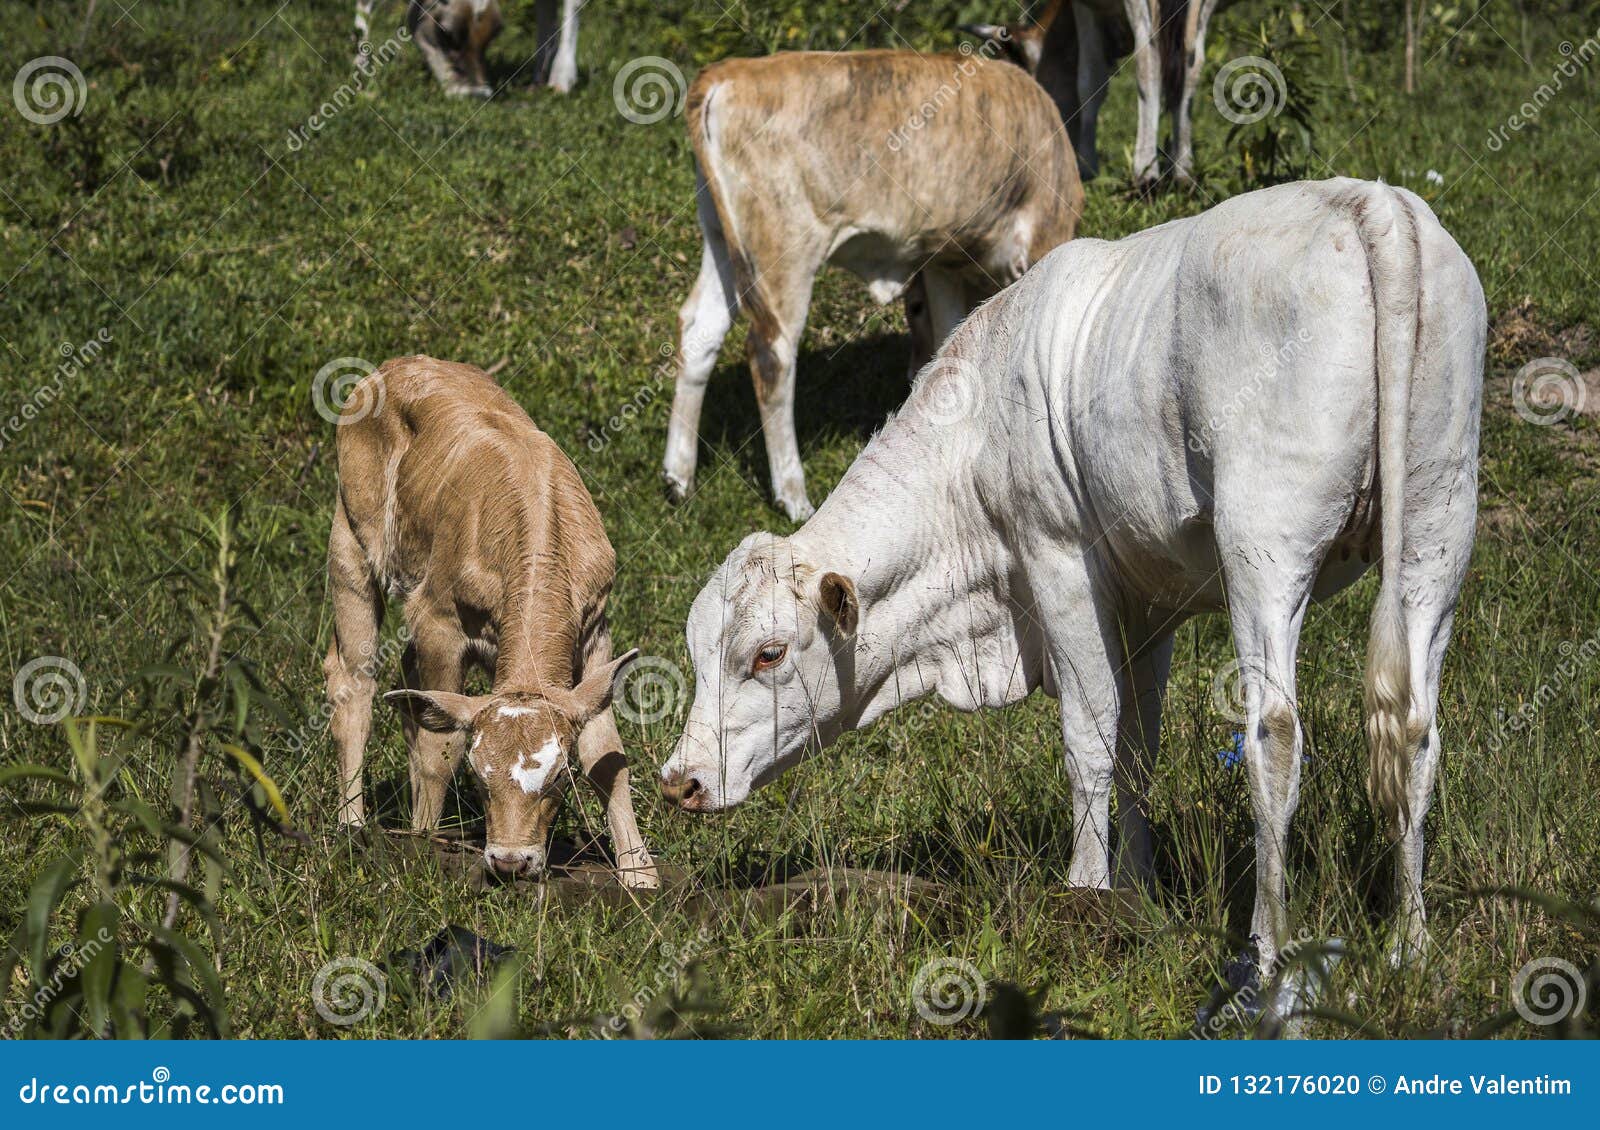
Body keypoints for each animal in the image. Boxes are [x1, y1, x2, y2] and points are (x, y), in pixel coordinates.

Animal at [325, 356, 658, 889]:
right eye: (480, 780)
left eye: (558, 778)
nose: (509, 861)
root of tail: (394, 366)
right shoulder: (439, 622)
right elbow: (440, 749)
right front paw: (423, 843)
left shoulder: (595, 631)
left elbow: (606, 752)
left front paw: (637, 869)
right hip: (350, 538)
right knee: (353, 679)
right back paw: (353, 824)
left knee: (408, 685)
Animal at [661, 179, 1484, 1022]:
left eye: (768, 654)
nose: (678, 780)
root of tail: (1367, 203)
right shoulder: (1150, 603)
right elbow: (1137, 748)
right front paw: (1137, 897)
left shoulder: (1057, 561)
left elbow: (1087, 741)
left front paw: (1084, 898)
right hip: (1438, 524)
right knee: (1415, 730)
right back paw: (1411, 944)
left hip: (1267, 543)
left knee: (1275, 735)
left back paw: (1265, 957)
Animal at [662, 48, 1083, 523]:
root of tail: (729, 71)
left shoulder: (942, 259)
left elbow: (952, 340)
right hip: (784, 248)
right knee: (772, 355)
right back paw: (793, 497)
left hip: (721, 240)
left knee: (699, 330)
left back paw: (679, 479)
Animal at [966, 1, 1234, 188]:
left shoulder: (1082, 7)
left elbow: (1089, 82)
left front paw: (1086, 166)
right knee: (1191, 61)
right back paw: (1182, 170)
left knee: (1148, 57)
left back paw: (1145, 173)